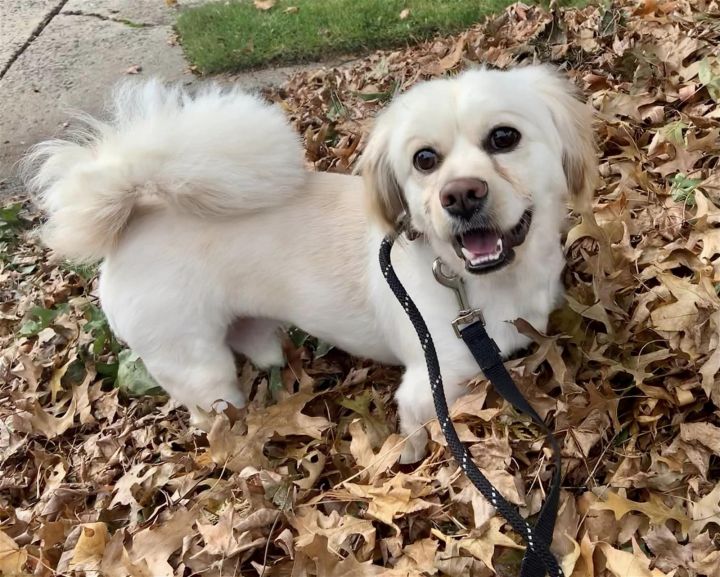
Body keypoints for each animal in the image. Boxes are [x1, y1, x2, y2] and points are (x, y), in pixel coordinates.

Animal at [25, 66, 592, 464]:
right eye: (425, 160)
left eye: (504, 138)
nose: (461, 195)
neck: (481, 283)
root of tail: (135, 214)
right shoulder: (431, 383)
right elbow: (419, 430)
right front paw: (410, 458)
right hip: (199, 371)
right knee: (213, 412)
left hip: (253, 334)